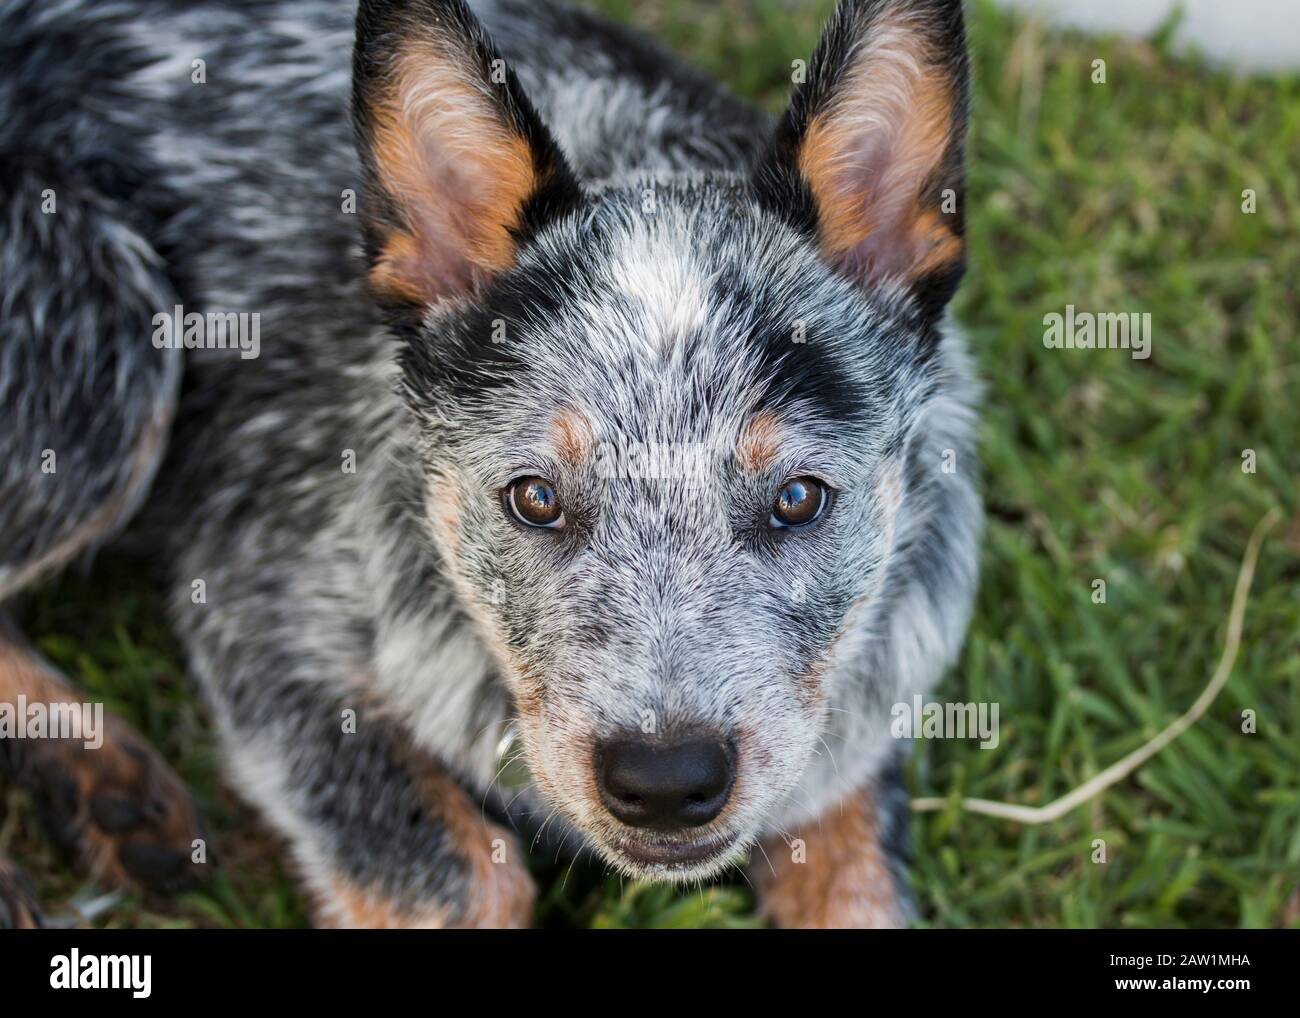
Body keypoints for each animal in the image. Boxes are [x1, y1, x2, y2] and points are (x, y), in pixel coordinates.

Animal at [0, 0, 977, 925]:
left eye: (800, 498)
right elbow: (467, 878)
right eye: (534, 498)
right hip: (112, 338)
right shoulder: (261, 612)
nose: (666, 781)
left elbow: (858, 888)